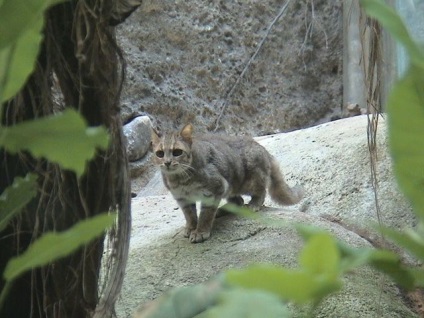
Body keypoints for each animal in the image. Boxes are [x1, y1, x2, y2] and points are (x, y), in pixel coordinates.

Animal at [151, 124, 304, 243]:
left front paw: (200, 231)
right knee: (238, 201)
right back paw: (221, 210)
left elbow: (205, 214)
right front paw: (191, 227)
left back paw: (254, 204)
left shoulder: (214, 189)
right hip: (230, 187)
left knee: (260, 192)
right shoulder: (182, 197)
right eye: (160, 153)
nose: (167, 162)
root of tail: (263, 148)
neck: (180, 179)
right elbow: (189, 215)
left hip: (249, 180)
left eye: (177, 152)